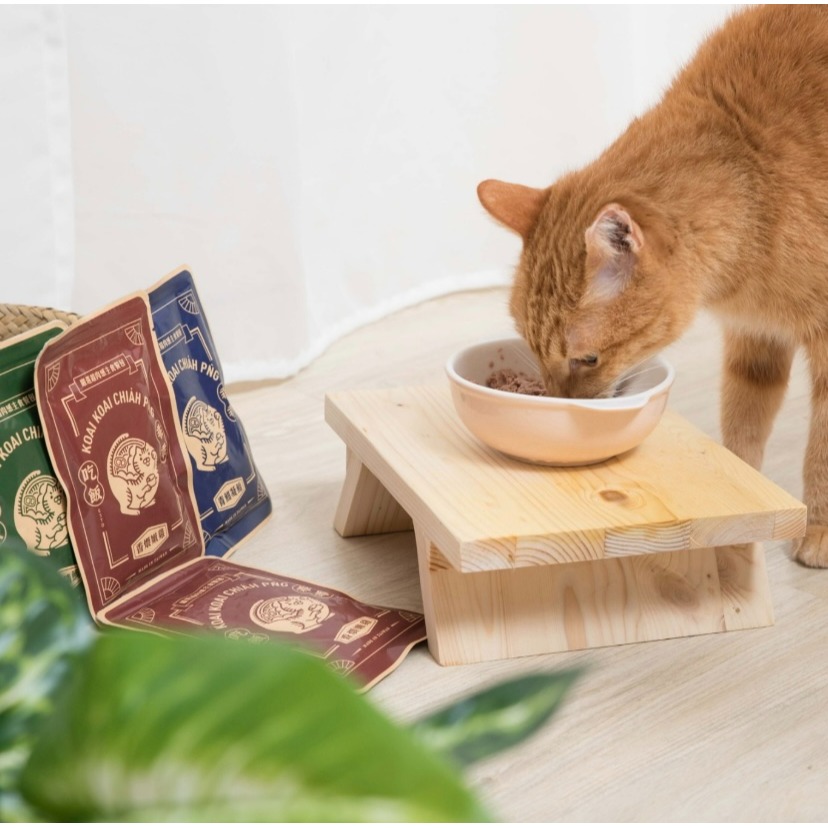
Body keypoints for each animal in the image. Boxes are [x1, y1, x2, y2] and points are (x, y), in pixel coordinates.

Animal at [476, 3, 828, 568]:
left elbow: (821, 450)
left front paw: (817, 531)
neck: (755, 175)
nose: (561, 405)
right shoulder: (755, 339)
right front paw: (742, 499)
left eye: (587, 359)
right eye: (534, 350)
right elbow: (743, 429)